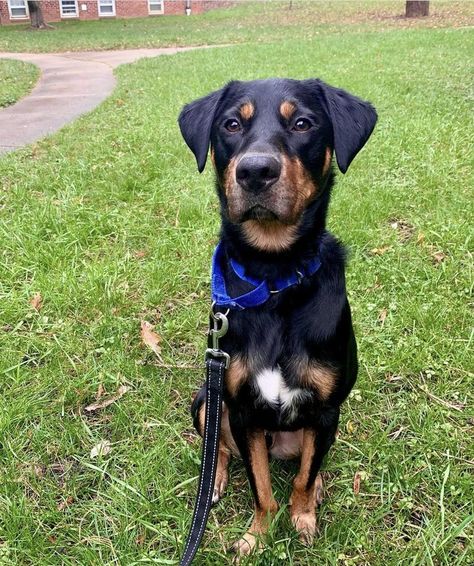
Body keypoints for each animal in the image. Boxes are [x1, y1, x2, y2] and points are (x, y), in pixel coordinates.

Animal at [179, 80, 378, 560]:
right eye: (231, 124)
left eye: (303, 122)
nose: (254, 171)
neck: (274, 281)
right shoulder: (242, 412)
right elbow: (261, 489)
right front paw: (257, 536)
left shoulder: (325, 410)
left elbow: (301, 479)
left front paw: (303, 520)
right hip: (206, 400)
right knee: (216, 448)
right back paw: (213, 480)